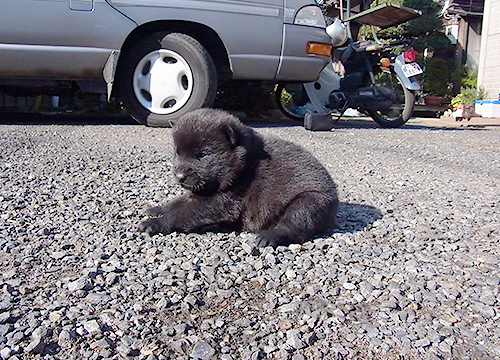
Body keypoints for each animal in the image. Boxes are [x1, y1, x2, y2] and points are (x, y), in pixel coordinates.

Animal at [139, 108, 338, 248]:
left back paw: (269, 236)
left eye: (202, 154)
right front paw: (156, 209)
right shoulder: (199, 192)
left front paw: (155, 223)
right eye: (177, 153)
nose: (179, 176)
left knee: (295, 223)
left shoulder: (224, 200)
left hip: (311, 200)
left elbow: (181, 212)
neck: (242, 165)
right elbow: (177, 202)